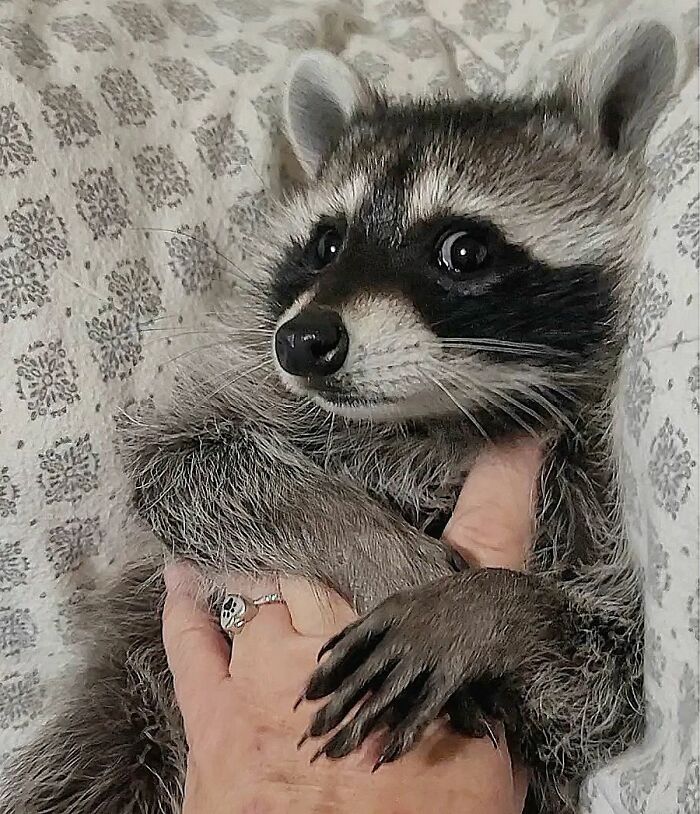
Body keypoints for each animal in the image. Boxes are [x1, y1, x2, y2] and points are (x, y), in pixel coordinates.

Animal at [0, 17, 682, 814]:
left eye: (464, 250)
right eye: (326, 243)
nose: (302, 341)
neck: (431, 419)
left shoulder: (589, 500)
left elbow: (606, 684)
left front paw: (491, 608)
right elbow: (183, 470)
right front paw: (367, 544)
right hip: (119, 721)